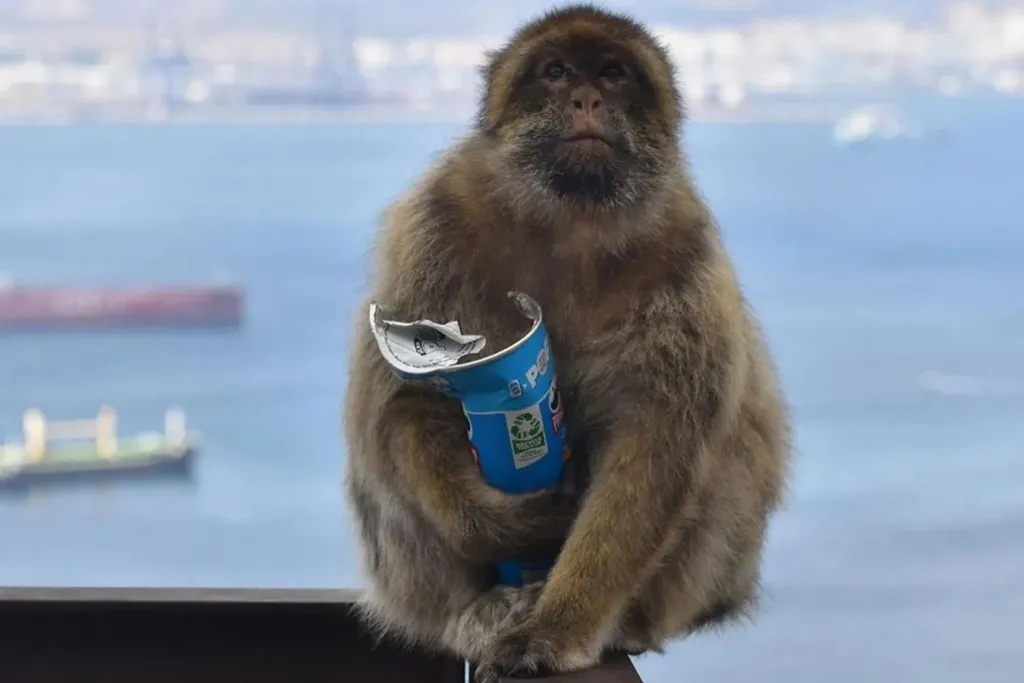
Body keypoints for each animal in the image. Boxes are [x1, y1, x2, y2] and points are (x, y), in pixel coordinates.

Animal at [342, 4, 792, 682]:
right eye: (556, 72)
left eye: (613, 73)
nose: (586, 99)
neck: (571, 223)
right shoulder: (435, 221)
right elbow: (406, 399)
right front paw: (504, 526)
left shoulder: (685, 255)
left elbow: (655, 444)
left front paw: (558, 628)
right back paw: (480, 607)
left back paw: (620, 622)